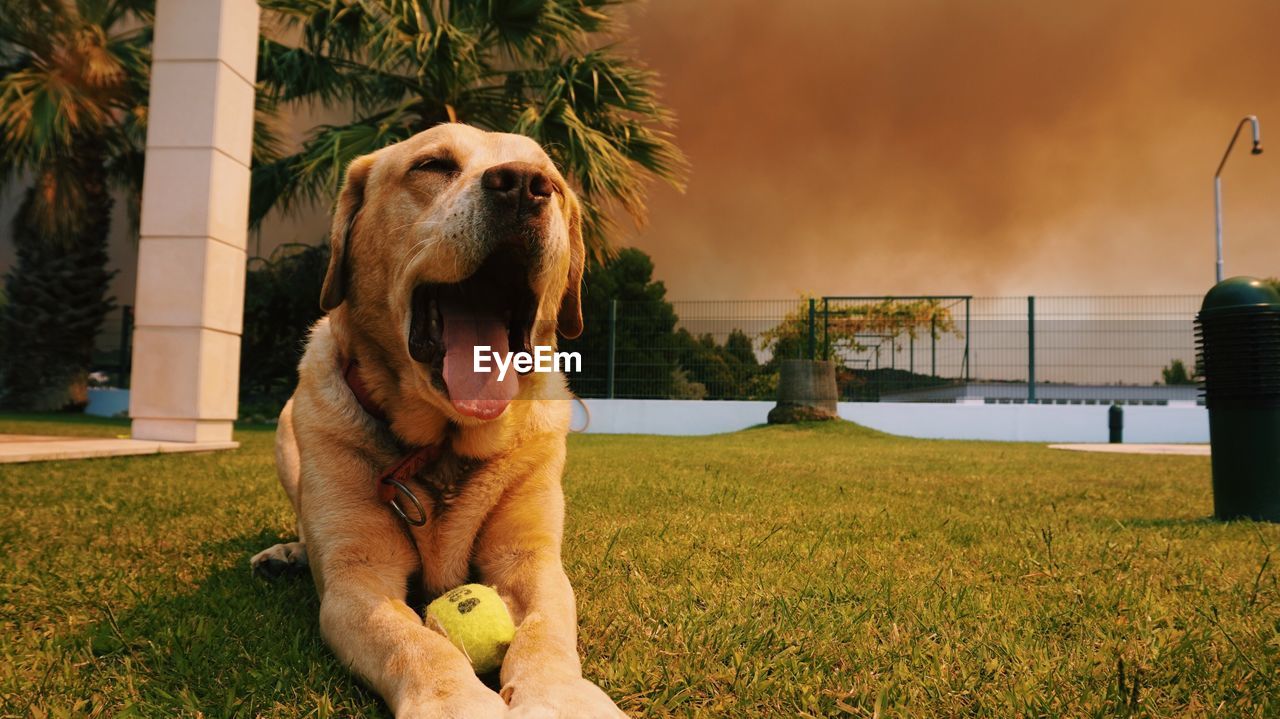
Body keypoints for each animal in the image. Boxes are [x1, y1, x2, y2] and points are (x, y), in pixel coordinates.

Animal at [250, 124, 624, 716]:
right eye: (432, 164)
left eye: (555, 183)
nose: (524, 184)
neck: (446, 441)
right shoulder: (358, 578)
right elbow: (416, 642)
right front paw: (457, 702)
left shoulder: (532, 560)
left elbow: (545, 629)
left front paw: (563, 698)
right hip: (288, 441)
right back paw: (288, 553)